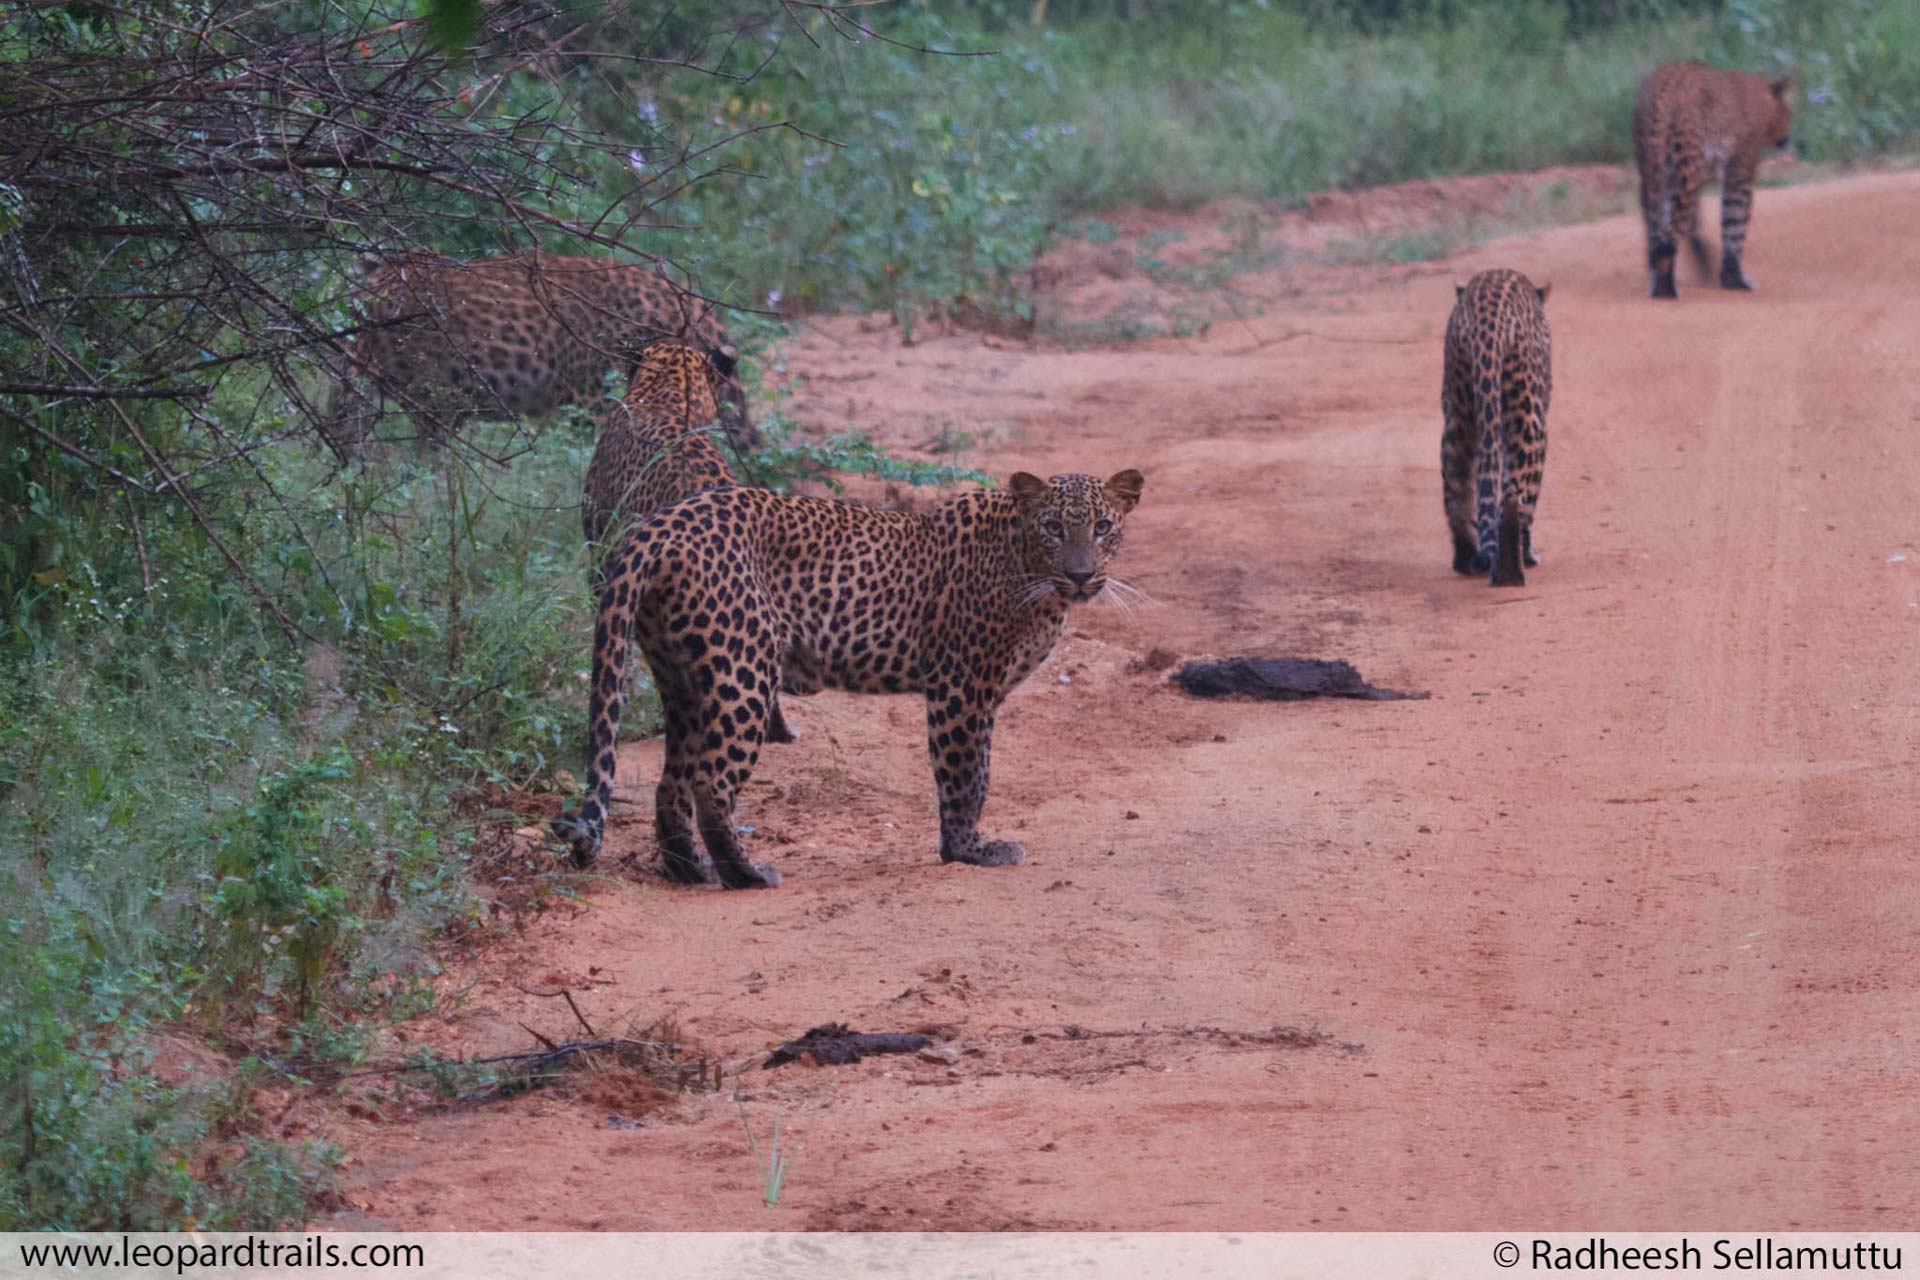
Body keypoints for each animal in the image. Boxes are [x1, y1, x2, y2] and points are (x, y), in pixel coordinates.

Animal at [549, 470, 1144, 890]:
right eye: (1054, 528)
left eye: (1102, 528)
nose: (1081, 575)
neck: (1029, 572)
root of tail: (659, 524)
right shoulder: (960, 686)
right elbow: (965, 775)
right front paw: (969, 850)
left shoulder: (985, 694)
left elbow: (980, 770)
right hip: (743, 669)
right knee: (710, 782)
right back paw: (747, 875)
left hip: (683, 678)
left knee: (671, 784)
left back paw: (690, 869)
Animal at [1443, 272, 1559, 594]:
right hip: (1529, 420)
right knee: (1517, 495)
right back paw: (1513, 565)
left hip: (1459, 414)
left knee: (1456, 485)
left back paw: (1467, 559)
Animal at [1628, 62, 1789, 301]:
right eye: (1788, 114)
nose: (1786, 139)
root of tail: (1662, 93)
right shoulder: (1739, 174)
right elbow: (1734, 224)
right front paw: (1734, 279)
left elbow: (1695, 227)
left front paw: (1706, 265)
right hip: (1686, 167)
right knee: (1671, 231)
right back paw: (1664, 290)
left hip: (1654, 173)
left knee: (1656, 227)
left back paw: (1656, 276)